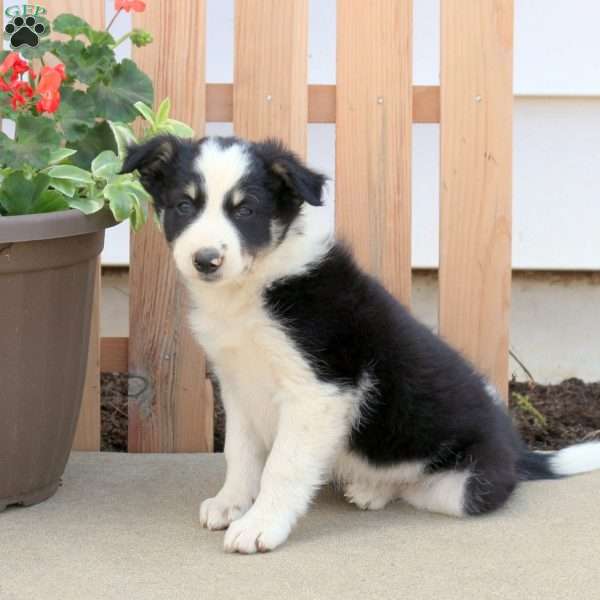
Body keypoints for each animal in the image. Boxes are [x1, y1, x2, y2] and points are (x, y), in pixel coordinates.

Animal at [120, 135, 600, 552]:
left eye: (247, 210)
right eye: (184, 205)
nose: (206, 260)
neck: (255, 285)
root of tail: (518, 453)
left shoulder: (319, 390)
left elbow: (283, 466)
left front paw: (260, 526)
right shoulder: (237, 384)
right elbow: (239, 452)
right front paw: (231, 503)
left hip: (464, 487)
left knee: (418, 488)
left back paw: (376, 487)